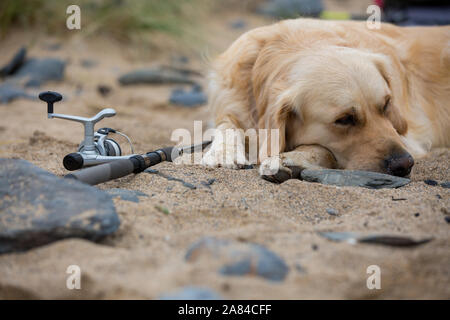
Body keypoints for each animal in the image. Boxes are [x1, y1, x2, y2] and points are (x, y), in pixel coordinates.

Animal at [201, 18, 450, 181]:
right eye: (345, 119)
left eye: (387, 105)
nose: (404, 164)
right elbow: (226, 124)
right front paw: (224, 151)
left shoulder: (408, 138)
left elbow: (323, 149)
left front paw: (289, 159)